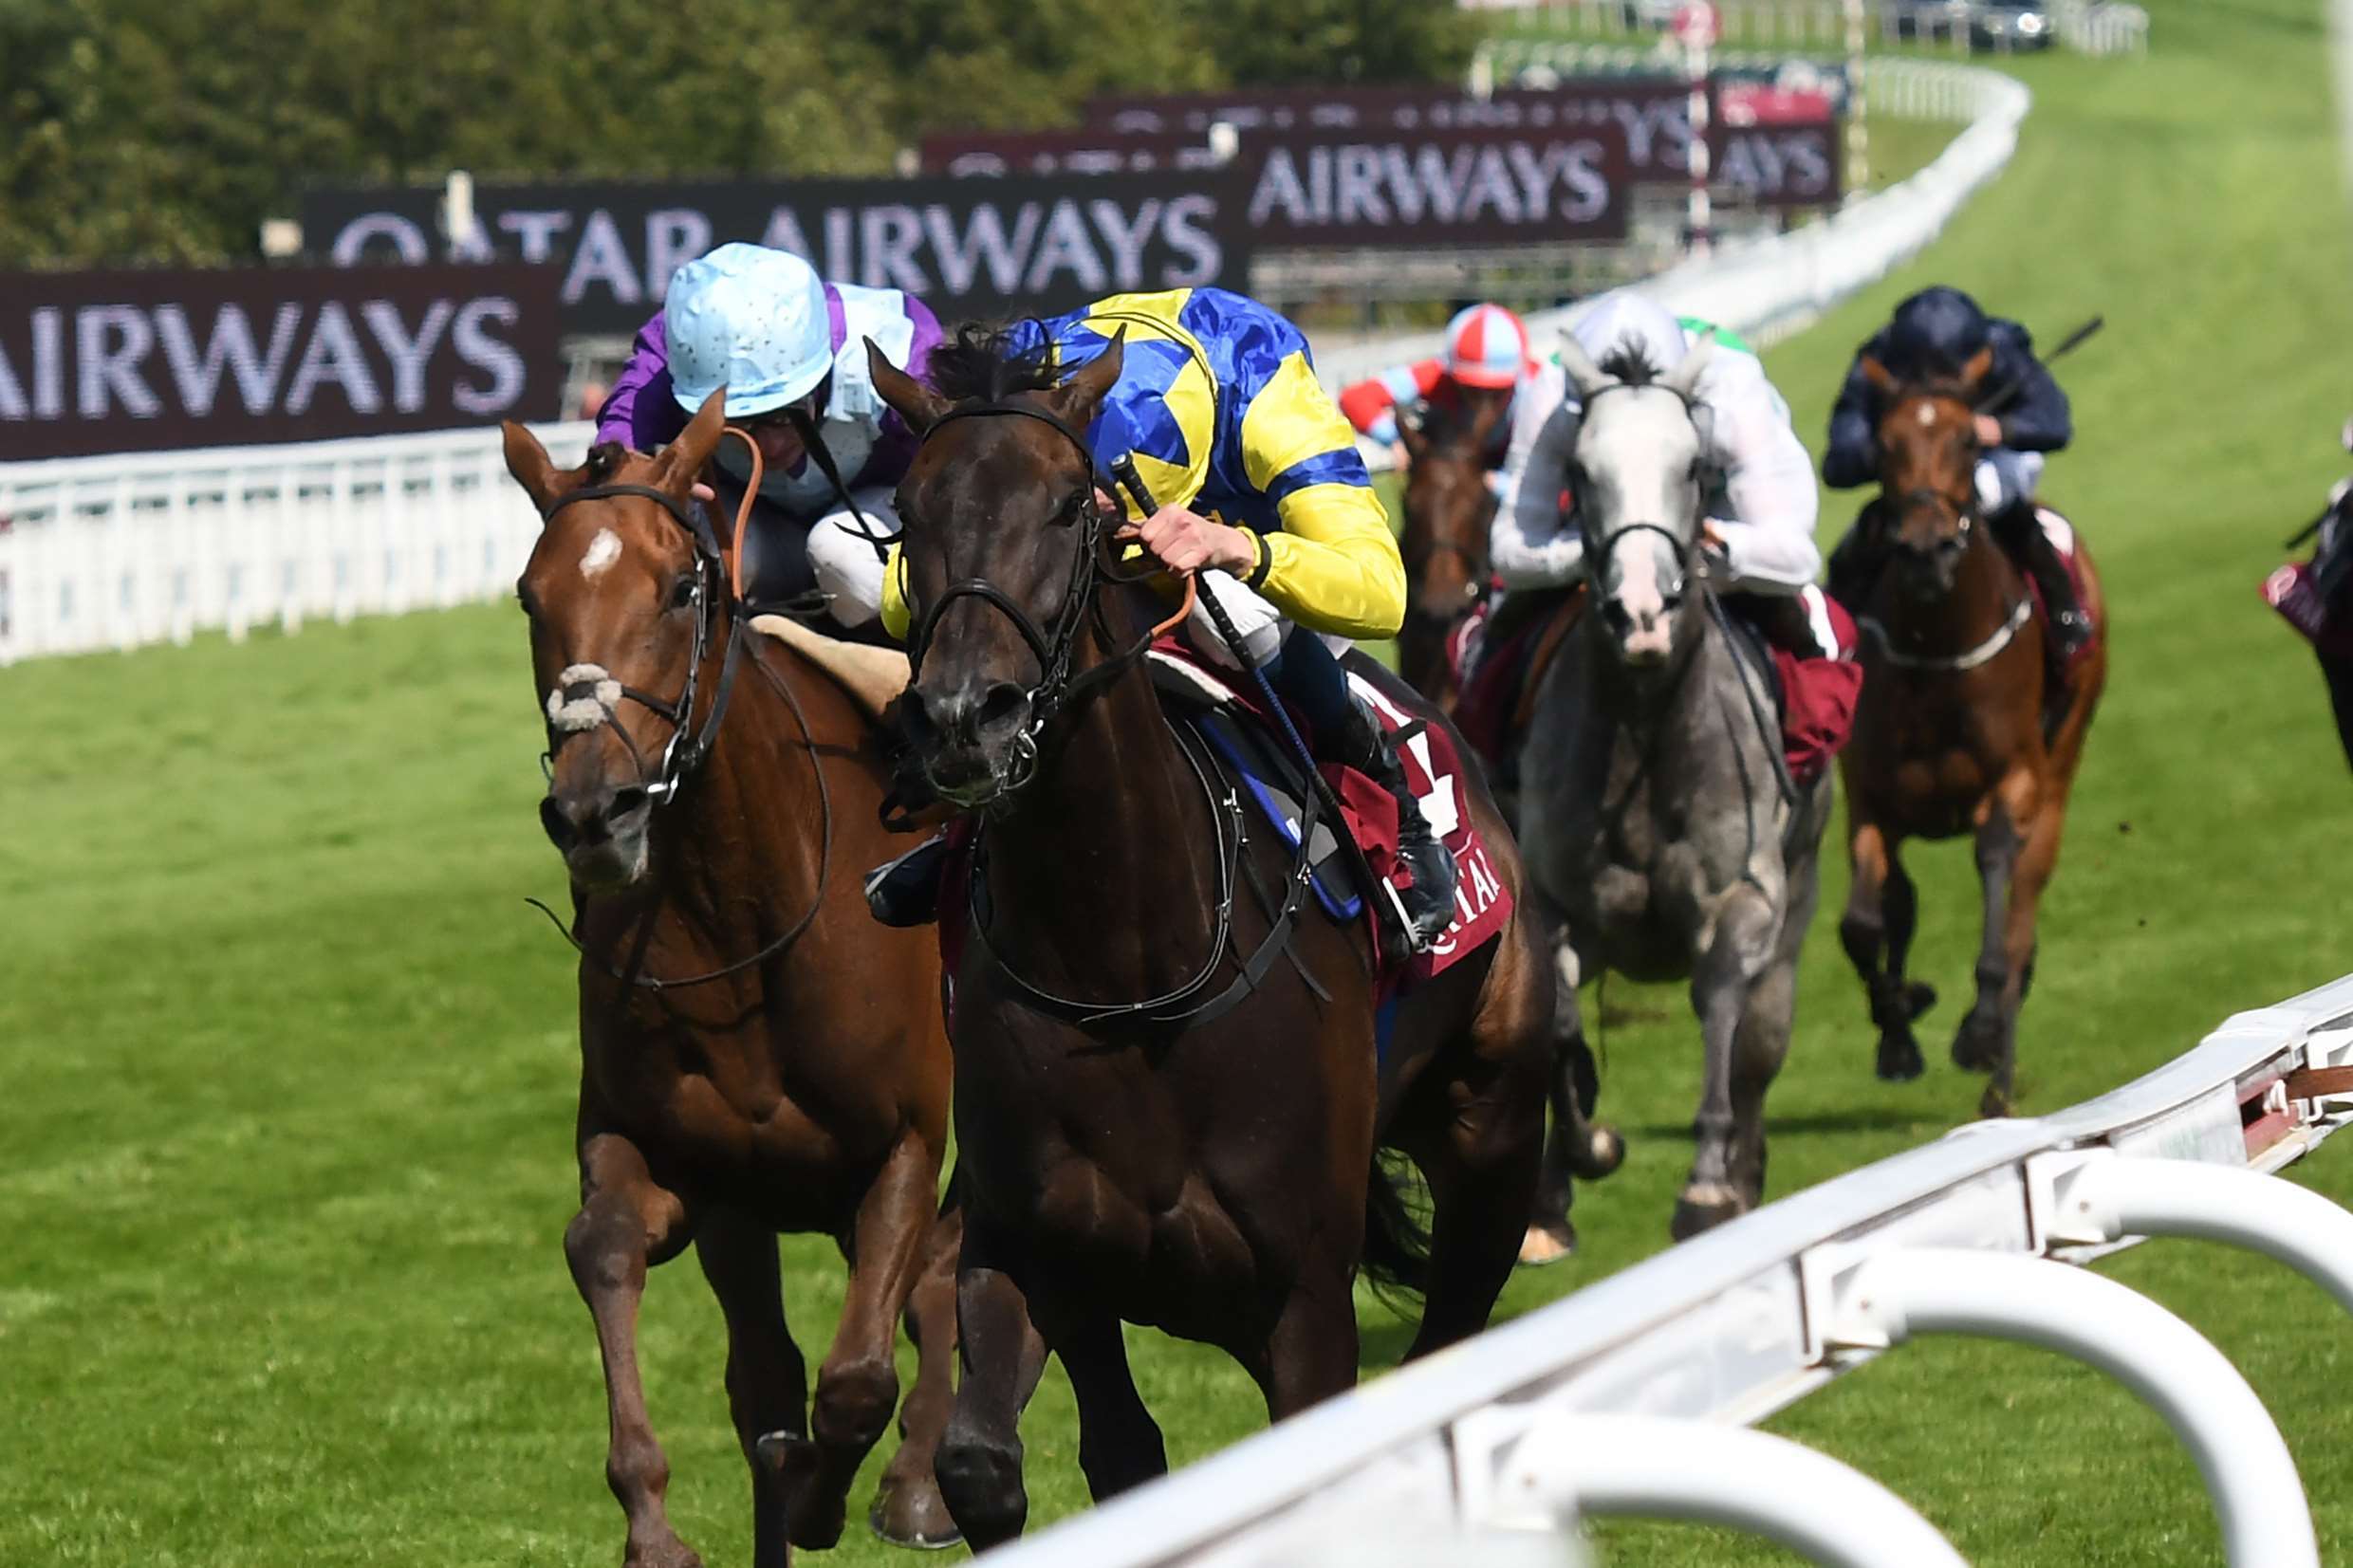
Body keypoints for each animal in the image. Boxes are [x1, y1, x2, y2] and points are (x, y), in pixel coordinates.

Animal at [501, 399, 959, 1568]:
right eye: (531, 595)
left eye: (679, 587)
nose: (595, 813)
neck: (746, 912)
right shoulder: (686, 1168)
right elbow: (605, 1248)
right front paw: (654, 1523)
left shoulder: (904, 1143)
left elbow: (860, 1373)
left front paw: (830, 1497)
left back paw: (918, 1485)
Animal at [1506, 333, 1835, 1250]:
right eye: (1581, 469)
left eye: (1694, 467)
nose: (1642, 613)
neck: (1646, 736)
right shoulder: (1556, 905)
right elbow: (1558, 1021)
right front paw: (1579, 1159)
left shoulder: (1745, 898)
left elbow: (1721, 999)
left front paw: (1709, 1184)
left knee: (1761, 1038)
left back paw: (1748, 1175)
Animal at [1825, 350, 2108, 1123]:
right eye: (1885, 445)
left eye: (1965, 441)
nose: (1926, 551)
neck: (1938, 646)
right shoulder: (1871, 799)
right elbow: (1865, 923)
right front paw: (1900, 1028)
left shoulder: (2013, 783)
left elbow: (1994, 891)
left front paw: (1977, 1031)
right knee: (1901, 907)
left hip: (2061, 774)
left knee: (2020, 919)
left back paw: (1997, 1078)